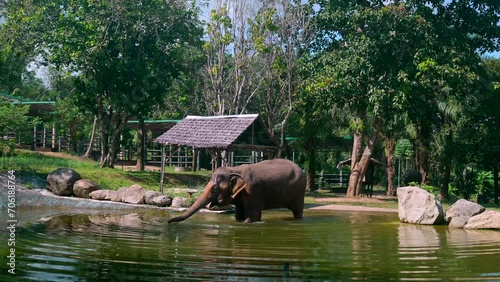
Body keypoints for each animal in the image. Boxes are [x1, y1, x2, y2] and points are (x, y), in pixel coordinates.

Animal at [168, 159, 306, 223]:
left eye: (216, 188)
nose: (168, 222)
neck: (233, 169)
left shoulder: (253, 190)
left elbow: (253, 216)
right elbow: (238, 215)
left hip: (299, 193)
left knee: (298, 211)